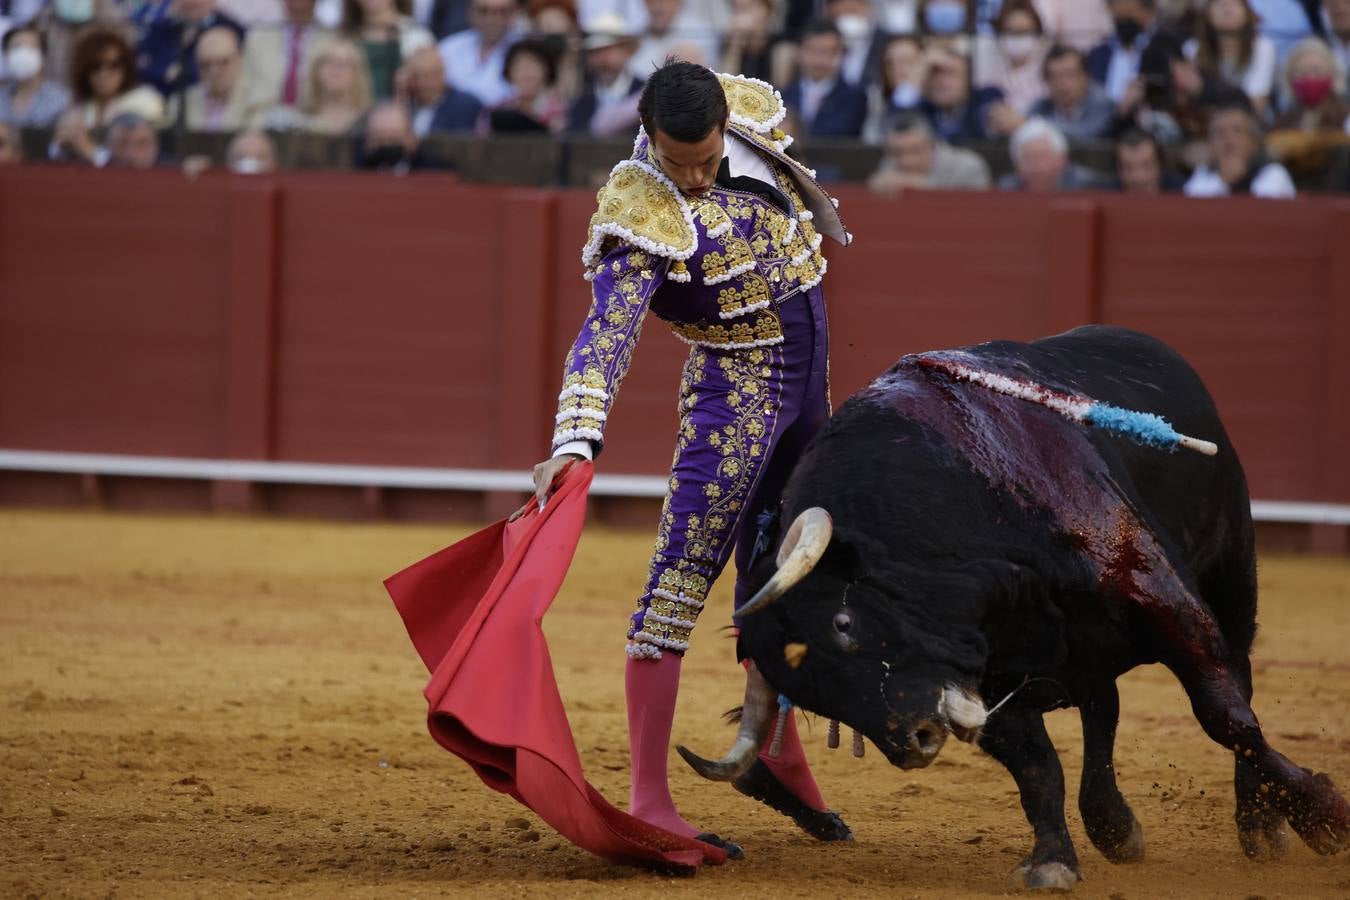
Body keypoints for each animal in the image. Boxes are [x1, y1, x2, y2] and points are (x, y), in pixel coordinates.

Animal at [680, 327, 1350, 890]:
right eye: (811, 694)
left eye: (844, 625)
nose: (913, 742)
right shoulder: (984, 674)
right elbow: (1036, 766)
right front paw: (1054, 860)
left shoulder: (1162, 600)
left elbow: (1226, 718)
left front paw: (1322, 815)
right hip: (1082, 654)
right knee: (1104, 710)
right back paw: (1112, 824)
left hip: (1231, 578)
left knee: (1238, 680)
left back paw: (1258, 824)